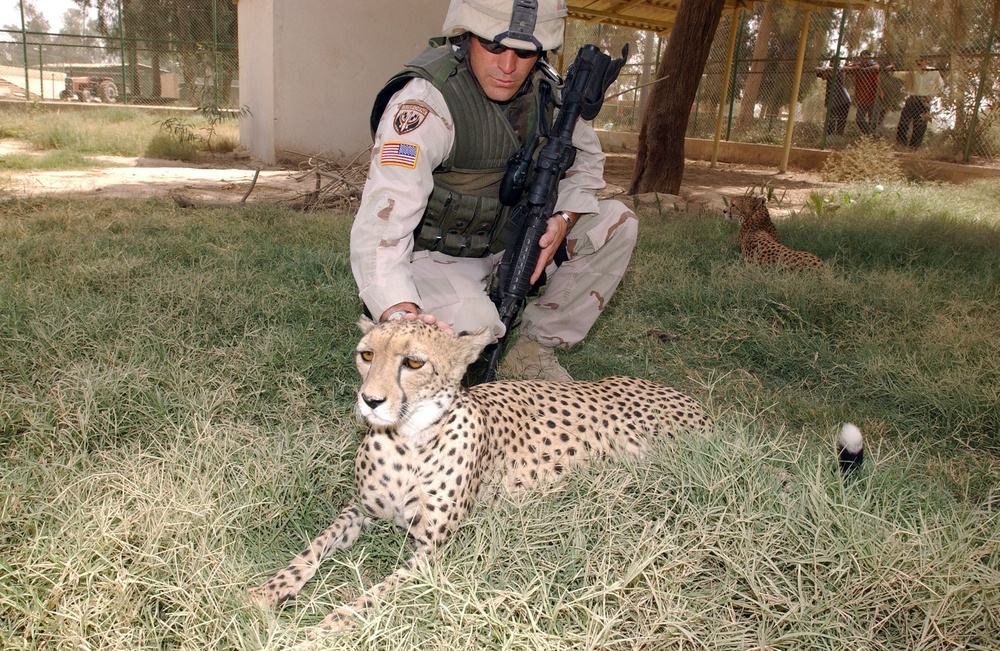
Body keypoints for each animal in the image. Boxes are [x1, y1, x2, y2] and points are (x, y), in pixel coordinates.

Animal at [247, 316, 712, 632]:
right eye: (366, 355)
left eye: (413, 362)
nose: (370, 400)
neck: (409, 440)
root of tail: (693, 402)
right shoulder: (358, 510)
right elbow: (311, 549)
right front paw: (268, 591)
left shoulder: (431, 552)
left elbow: (372, 595)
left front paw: (325, 626)